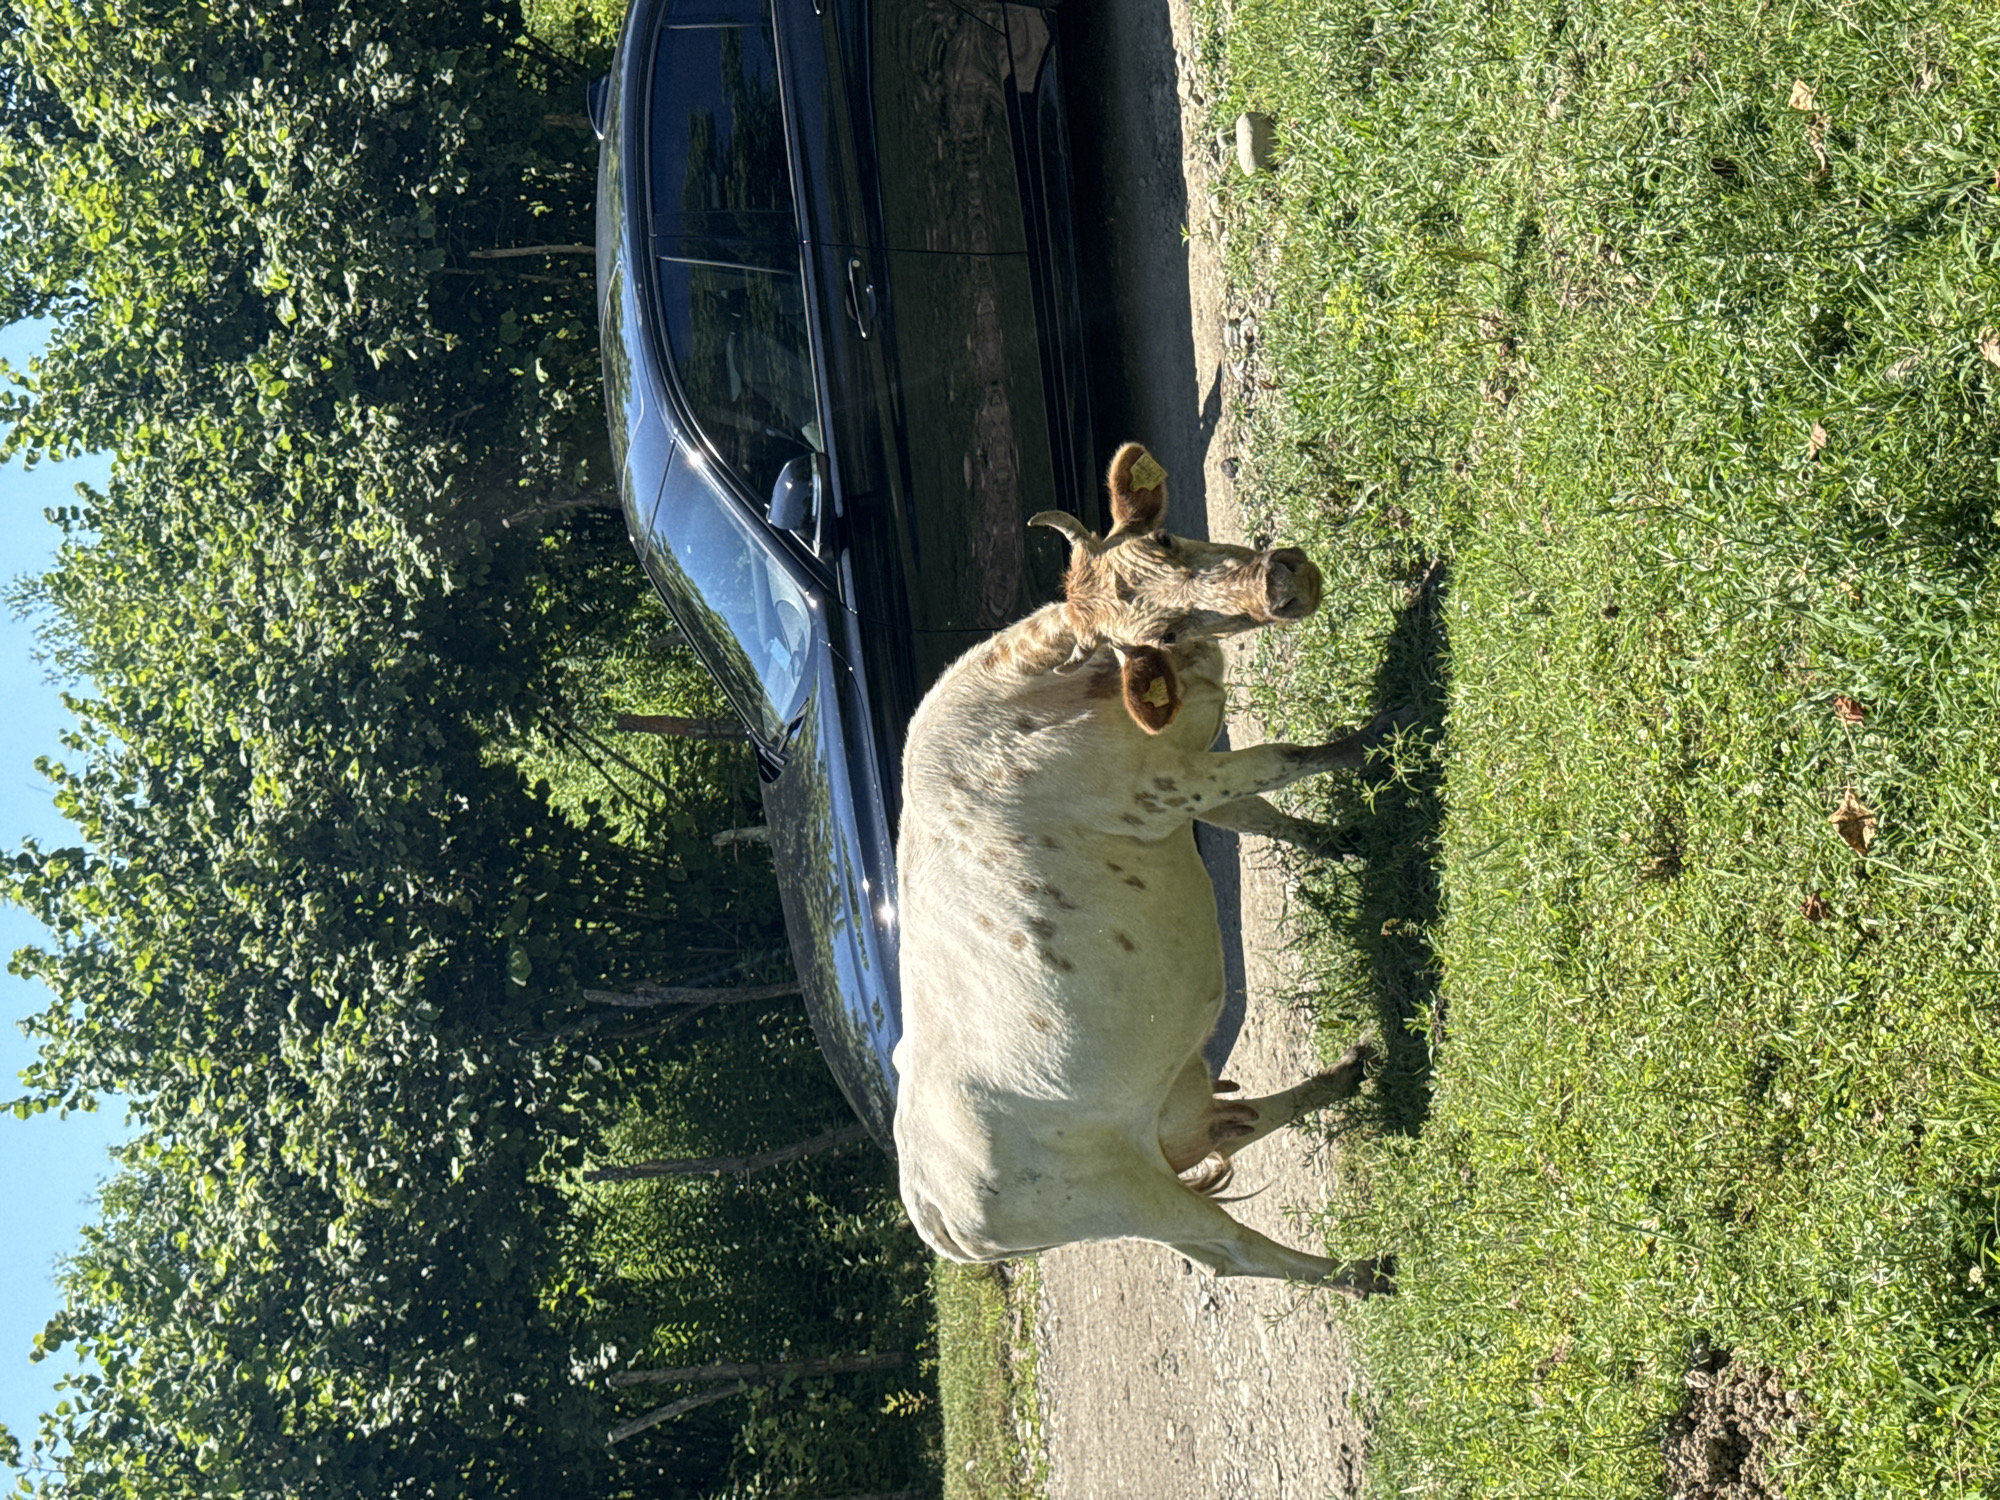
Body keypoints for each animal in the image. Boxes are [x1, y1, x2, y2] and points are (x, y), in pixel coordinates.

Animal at [891, 441, 1402, 1289]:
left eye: (1163, 540)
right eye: (1159, 629)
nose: (1281, 580)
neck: (1064, 683)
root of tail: (935, 1215)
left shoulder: (1191, 780)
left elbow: (1259, 815)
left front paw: (1346, 842)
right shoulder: (1175, 783)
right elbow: (1285, 758)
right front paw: (1381, 733)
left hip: (1162, 1115)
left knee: (1227, 1125)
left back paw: (1347, 1076)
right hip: (1125, 1194)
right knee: (1229, 1250)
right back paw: (1363, 1273)